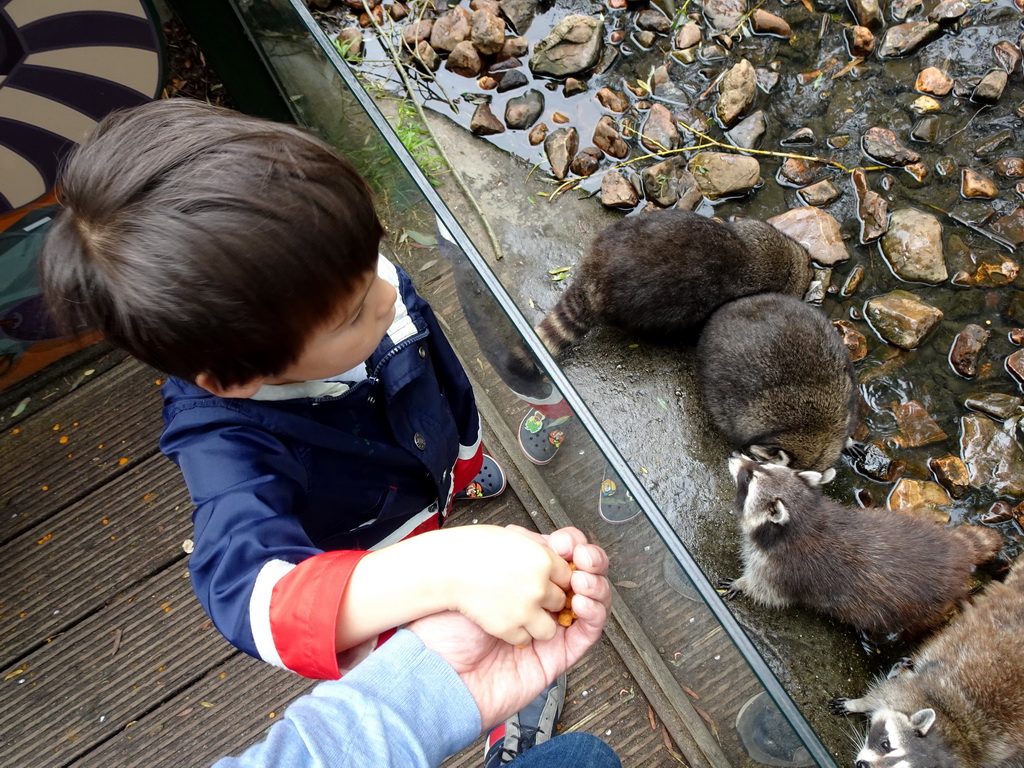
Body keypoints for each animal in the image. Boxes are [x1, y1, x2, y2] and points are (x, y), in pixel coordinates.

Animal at [724, 460, 1003, 638]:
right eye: (760, 465)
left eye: (748, 478)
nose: (734, 456)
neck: (804, 517)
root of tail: (954, 550)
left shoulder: (784, 568)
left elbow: (769, 593)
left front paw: (743, 584)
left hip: (923, 607)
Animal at [831, 561, 1024, 768]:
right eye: (885, 744)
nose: (862, 765)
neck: (954, 726)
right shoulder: (912, 689)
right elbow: (880, 693)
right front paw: (857, 704)